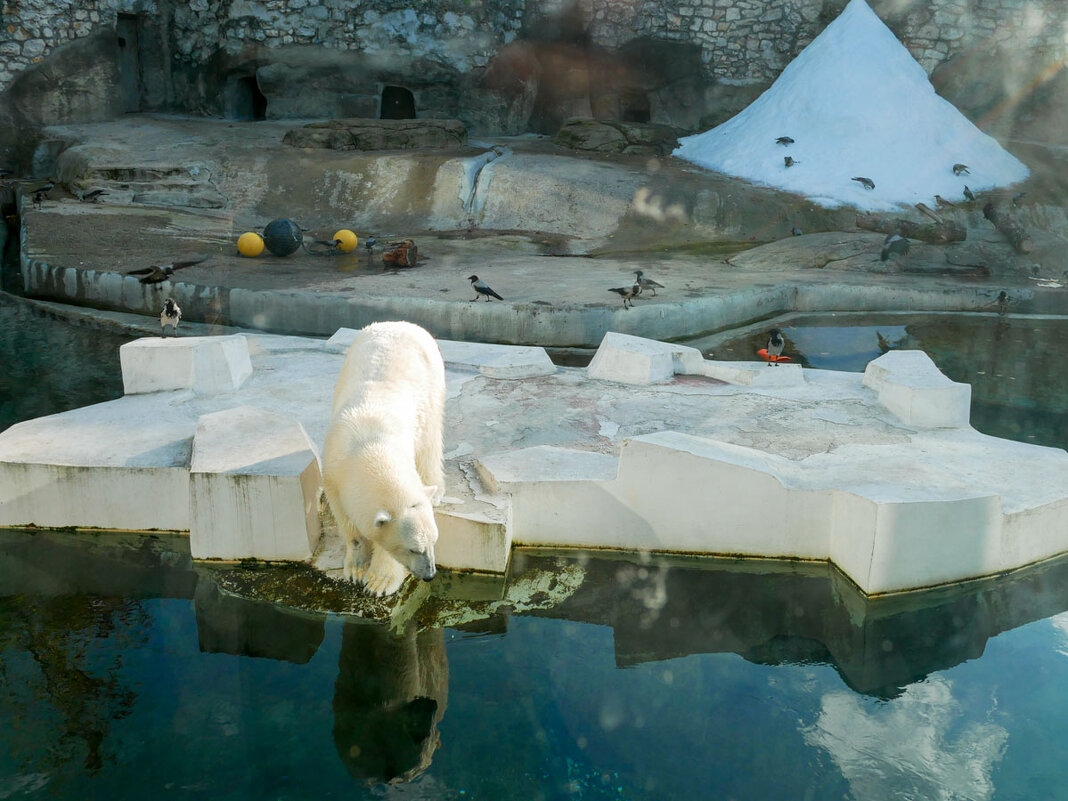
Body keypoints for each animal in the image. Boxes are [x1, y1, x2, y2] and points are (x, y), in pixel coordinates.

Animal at [320, 324, 446, 598]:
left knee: (430, 439)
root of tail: (401, 323)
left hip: (431, 382)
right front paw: (356, 568)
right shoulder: (332, 473)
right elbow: (348, 523)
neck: (368, 444)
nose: (430, 574)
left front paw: (378, 582)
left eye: (434, 541)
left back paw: (436, 488)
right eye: (413, 548)